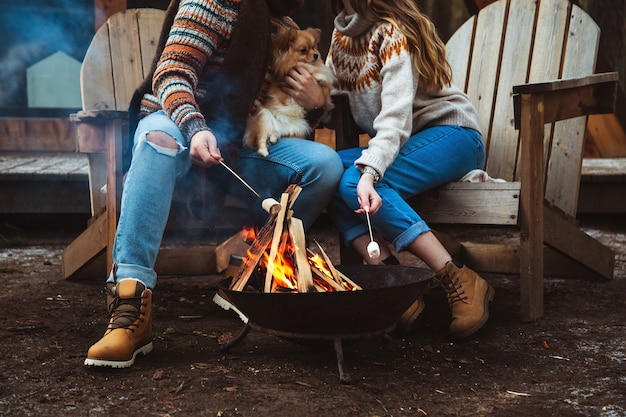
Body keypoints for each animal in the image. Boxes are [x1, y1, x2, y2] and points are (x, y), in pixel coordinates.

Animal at [241, 26, 334, 156]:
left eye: (313, 47)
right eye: (303, 50)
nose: (316, 55)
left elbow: (325, 91)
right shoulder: (286, 80)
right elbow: (310, 71)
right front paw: (318, 76)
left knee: (274, 134)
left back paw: (273, 138)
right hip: (264, 117)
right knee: (260, 138)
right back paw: (263, 151)